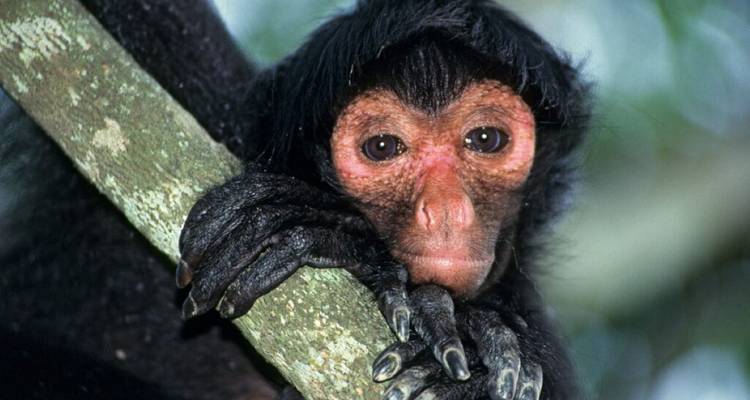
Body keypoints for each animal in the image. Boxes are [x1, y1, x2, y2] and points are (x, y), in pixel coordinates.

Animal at [0, 1, 589, 399]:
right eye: (382, 147)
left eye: (485, 139)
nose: (446, 210)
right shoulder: (195, 81)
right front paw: (331, 232)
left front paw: (473, 361)